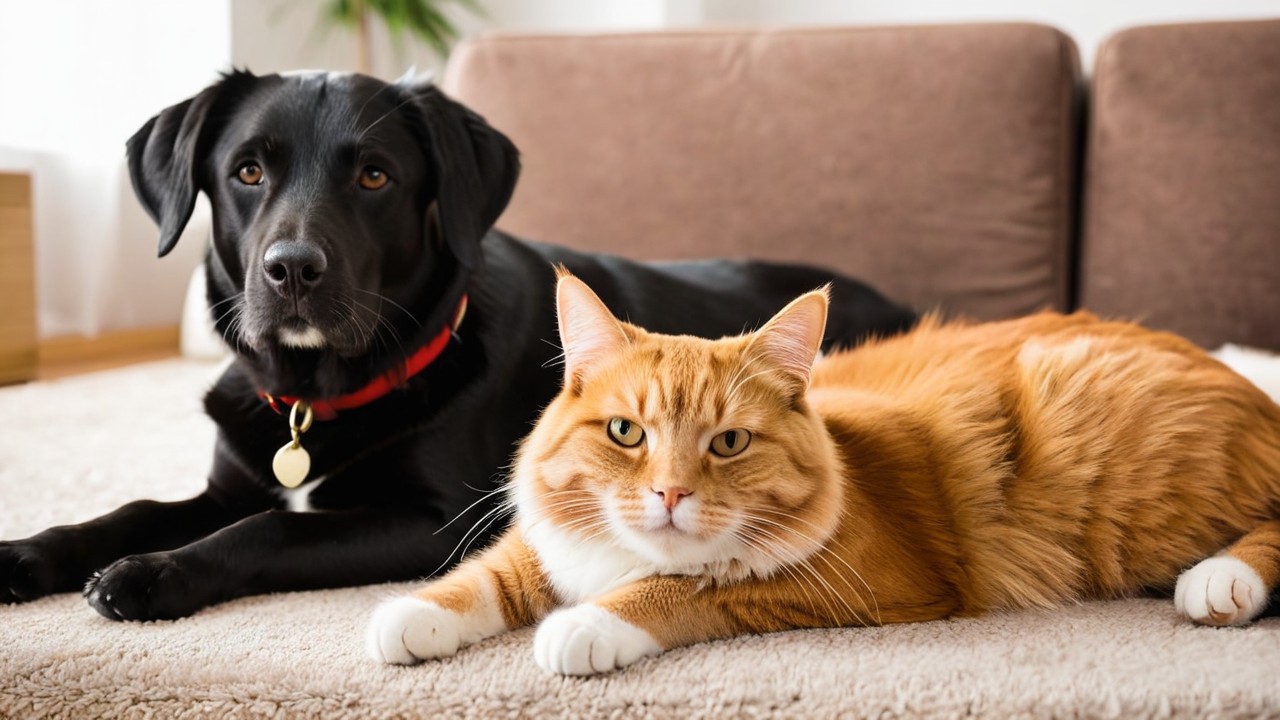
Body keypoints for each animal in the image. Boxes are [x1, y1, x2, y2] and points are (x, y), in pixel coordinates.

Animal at [0, 70, 921, 617]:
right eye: (247, 172)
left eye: (375, 175)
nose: (291, 269)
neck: (324, 392)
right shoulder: (230, 481)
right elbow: (135, 509)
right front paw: (29, 553)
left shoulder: (437, 522)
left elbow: (268, 531)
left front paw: (152, 573)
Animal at [366, 269, 1280, 671]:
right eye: (626, 432)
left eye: (728, 444)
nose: (668, 493)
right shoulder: (550, 543)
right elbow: (494, 573)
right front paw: (416, 613)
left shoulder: (849, 583)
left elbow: (684, 589)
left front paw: (587, 624)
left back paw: (1220, 582)